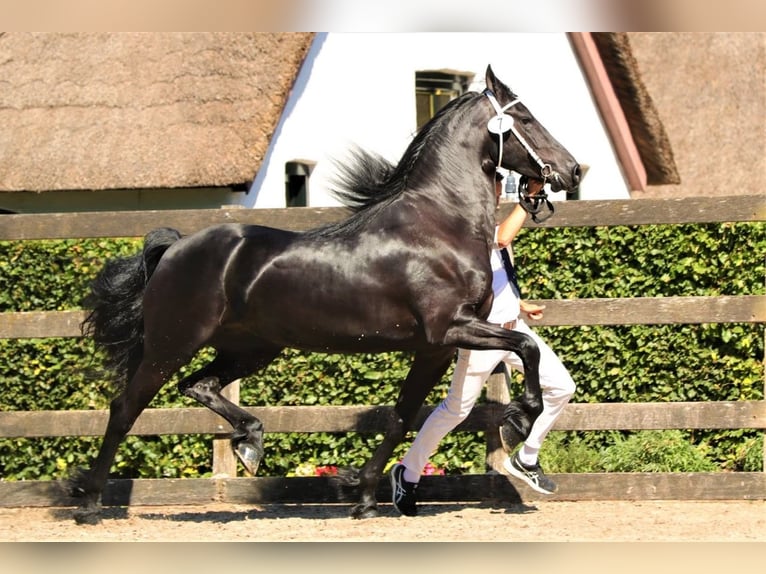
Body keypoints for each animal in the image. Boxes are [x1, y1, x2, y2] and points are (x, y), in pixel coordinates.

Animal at [70, 65, 580, 524]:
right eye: (527, 119)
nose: (572, 171)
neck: (438, 225)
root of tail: (175, 247)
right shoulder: (451, 328)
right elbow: (527, 345)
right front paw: (519, 418)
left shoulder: (435, 348)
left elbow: (402, 417)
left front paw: (363, 494)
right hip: (172, 343)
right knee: (125, 409)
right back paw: (90, 503)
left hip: (251, 347)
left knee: (199, 385)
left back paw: (251, 443)